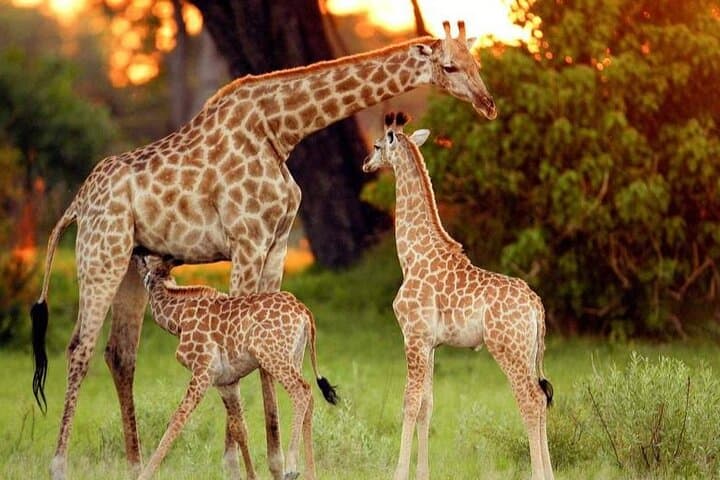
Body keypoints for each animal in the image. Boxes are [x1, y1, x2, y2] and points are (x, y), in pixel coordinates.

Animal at [131, 253, 338, 480]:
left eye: (146, 258)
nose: (135, 255)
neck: (178, 318)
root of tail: (305, 312)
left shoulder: (203, 370)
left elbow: (177, 419)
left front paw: (144, 475)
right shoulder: (225, 382)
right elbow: (240, 429)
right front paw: (252, 477)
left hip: (271, 354)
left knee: (301, 390)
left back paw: (292, 467)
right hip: (294, 356)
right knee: (309, 397)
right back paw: (311, 474)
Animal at [362, 113, 554, 480]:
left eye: (378, 145)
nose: (366, 163)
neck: (412, 255)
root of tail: (536, 305)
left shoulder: (413, 336)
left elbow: (409, 403)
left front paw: (399, 472)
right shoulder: (430, 344)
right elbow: (427, 405)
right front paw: (422, 473)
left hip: (508, 349)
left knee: (531, 400)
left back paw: (540, 474)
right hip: (528, 351)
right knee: (541, 398)